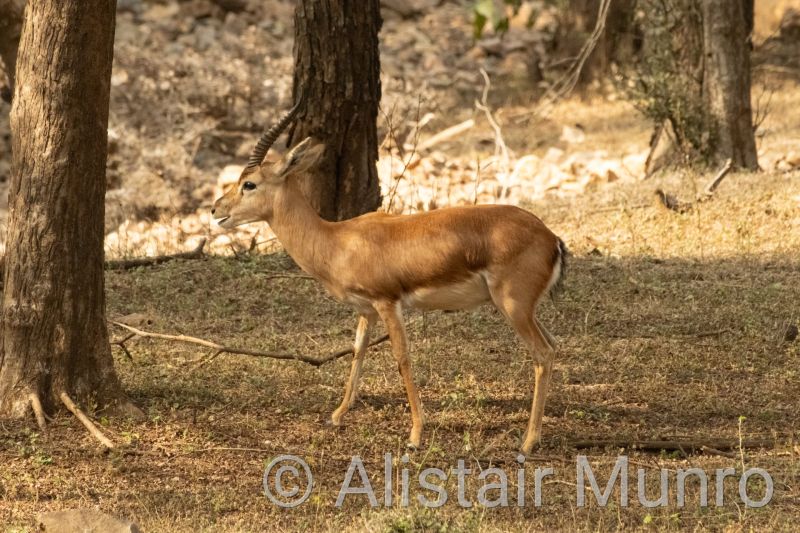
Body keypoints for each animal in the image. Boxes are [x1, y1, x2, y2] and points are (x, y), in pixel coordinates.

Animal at [211, 101, 567, 454]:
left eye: (249, 183)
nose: (216, 211)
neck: (335, 241)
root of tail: (550, 238)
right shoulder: (365, 310)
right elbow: (358, 350)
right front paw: (338, 414)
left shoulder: (387, 302)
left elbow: (402, 358)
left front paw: (415, 434)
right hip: (524, 310)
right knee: (553, 345)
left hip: (512, 306)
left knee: (542, 354)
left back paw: (529, 441)